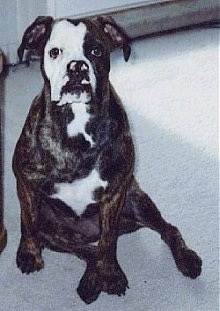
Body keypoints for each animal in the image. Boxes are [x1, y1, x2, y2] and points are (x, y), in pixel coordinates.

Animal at [12, 15, 202, 304]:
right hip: (54, 228)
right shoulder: (25, 181)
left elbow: (109, 241)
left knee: (166, 229)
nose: (77, 67)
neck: (77, 123)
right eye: (54, 52)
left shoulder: (115, 195)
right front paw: (29, 254)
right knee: (86, 250)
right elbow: (28, 222)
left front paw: (111, 274)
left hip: (136, 202)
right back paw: (90, 282)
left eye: (96, 51)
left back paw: (186, 259)